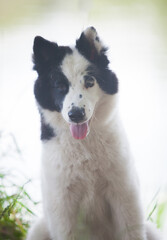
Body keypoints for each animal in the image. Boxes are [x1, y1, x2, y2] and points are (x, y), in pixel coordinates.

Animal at [26, 26, 162, 240]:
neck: (84, 146)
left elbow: (131, 232)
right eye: (60, 85)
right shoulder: (62, 206)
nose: (76, 114)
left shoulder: (124, 195)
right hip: (38, 229)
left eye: (89, 81)